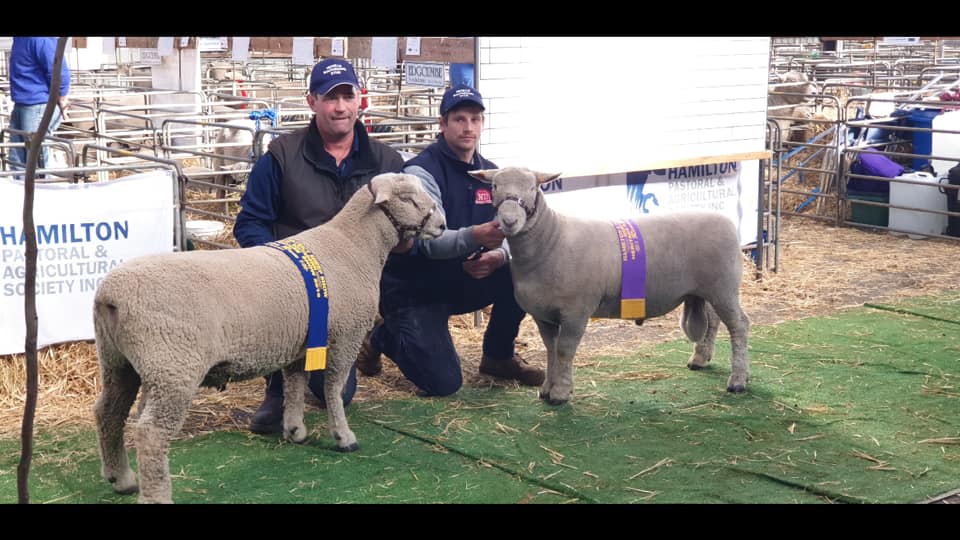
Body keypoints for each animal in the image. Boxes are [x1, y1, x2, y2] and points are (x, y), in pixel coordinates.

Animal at [94, 172, 446, 502]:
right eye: (408, 198)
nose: (442, 225)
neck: (354, 246)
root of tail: (109, 295)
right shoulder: (345, 335)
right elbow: (333, 387)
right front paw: (343, 437)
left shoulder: (302, 343)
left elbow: (294, 385)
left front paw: (295, 430)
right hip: (172, 367)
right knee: (151, 433)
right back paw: (156, 494)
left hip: (121, 363)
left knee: (108, 414)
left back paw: (121, 478)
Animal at [470, 167, 752, 408]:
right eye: (494, 186)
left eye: (532, 187)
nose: (508, 220)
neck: (551, 239)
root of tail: (727, 222)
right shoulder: (543, 315)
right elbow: (551, 350)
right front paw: (547, 388)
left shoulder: (576, 311)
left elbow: (564, 351)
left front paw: (560, 392)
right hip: (708, 290)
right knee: (714, 322)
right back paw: (700, 359)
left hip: (724, 287)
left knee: (739, 326)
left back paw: (738, 380)